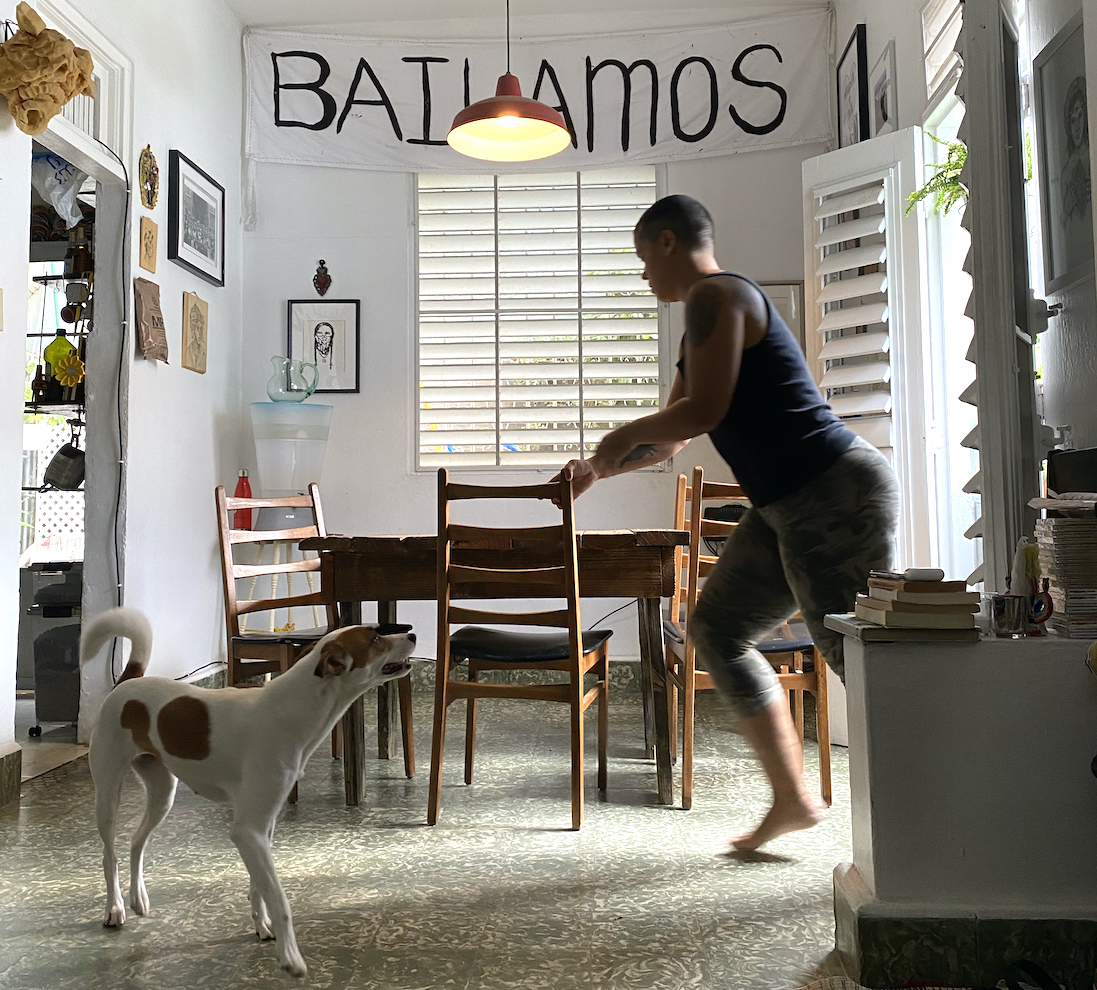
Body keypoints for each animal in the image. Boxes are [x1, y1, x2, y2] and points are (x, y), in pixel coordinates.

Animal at [80, 610, 414, 979]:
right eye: (375, 639)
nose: (412, 635)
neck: (290, 712)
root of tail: (126, 681)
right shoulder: (248, 830)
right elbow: (279, 898)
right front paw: (291, 957)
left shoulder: (262, 827)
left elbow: (259, 886)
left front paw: (262, 926)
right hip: (108, 793)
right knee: (109, 855)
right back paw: (115, 908)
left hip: (162, 793)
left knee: (136, 843)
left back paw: (138, 899)